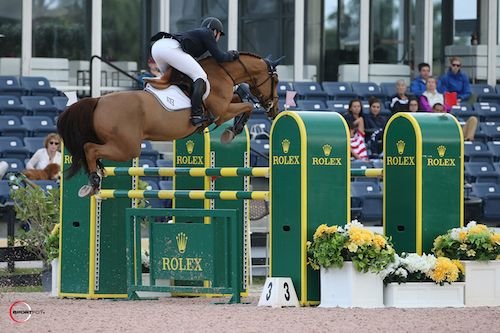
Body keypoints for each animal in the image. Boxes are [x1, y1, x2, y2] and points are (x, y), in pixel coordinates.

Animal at [58, 52, 282, 196]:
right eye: (276, 81)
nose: (275, 110)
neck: (222, 74)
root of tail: (97, 101)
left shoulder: (227, 105)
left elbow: (241, 99)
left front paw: (234, 126)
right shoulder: (222, 112)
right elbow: (247, 106)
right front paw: (231, 132)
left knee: (90, 149)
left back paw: (93, 179)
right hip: (127, 147)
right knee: (90, 148)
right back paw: (94, 181)